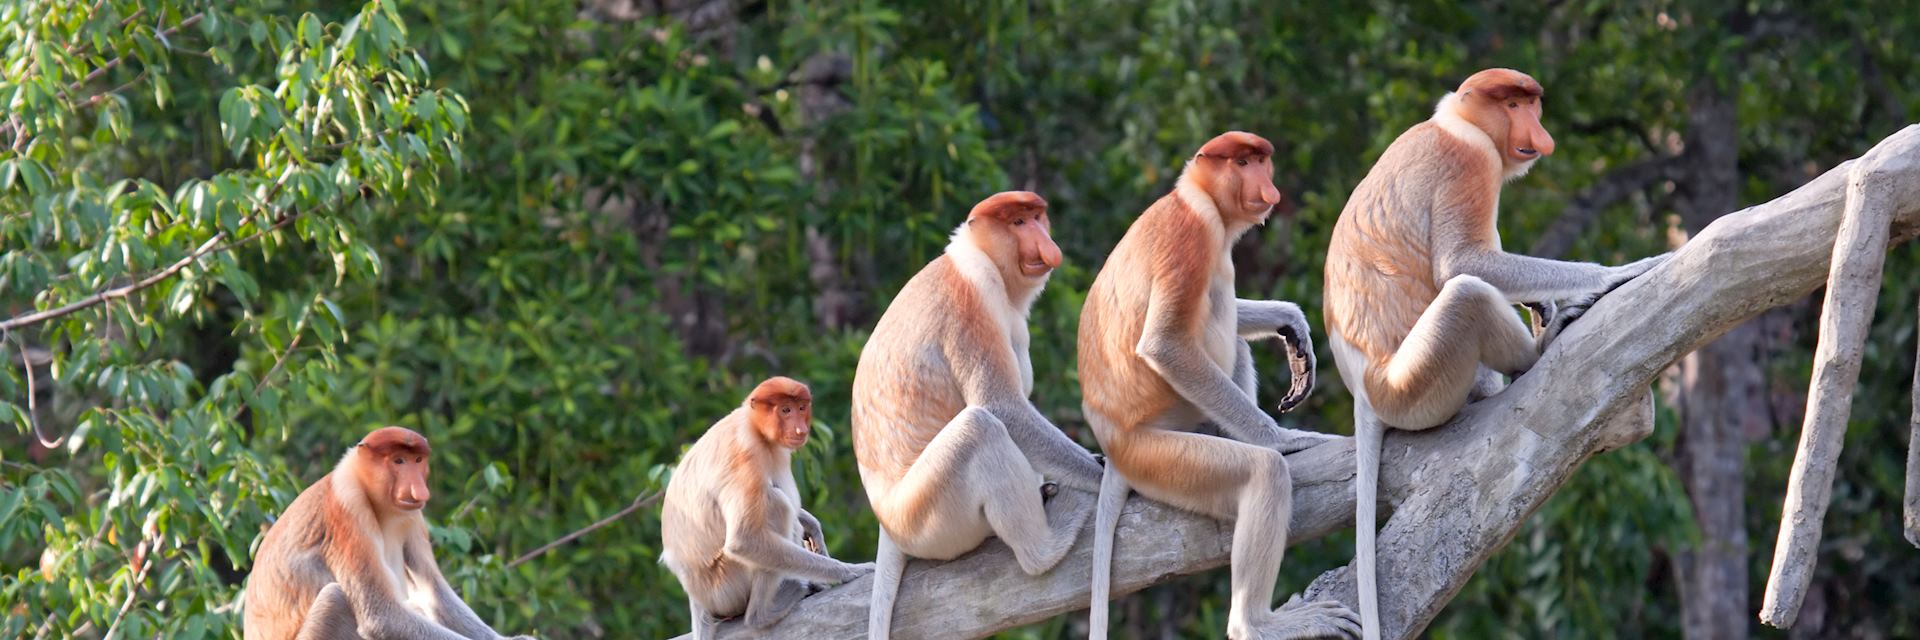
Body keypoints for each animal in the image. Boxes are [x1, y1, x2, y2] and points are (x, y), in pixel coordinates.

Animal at [245, 422, 541, 638]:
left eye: (418, 460)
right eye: (398, 461)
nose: (418, 490)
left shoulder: (412, 516)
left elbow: (434, 592)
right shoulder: (348, 511)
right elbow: (382, 615)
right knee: (335, 598)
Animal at [660, 376, 871, 634]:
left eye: (802, 408)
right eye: (785, 410)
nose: (800, 429)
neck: (754, 427)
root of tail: (697, 597)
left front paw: (813, 528)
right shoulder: (747, 458)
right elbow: (744, 540)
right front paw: (850, 570)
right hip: (727, 586)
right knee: (776, 504)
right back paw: (762, 613)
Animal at [852, 189, 1105, 638]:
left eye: (1037, 217)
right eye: (1017, 223)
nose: (1046, 244)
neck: (975, 254)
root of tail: (886, 521)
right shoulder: (970, 295)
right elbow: (1000, 404)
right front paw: (1104, 472)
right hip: (927, 518)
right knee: (980, 429)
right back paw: (1048, 544)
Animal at [1082, 130, 1367, 638]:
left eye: (1261, 160)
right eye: (1242, 162)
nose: (1269, 189)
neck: (1196, 199)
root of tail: (1112, 444)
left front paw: (1292, 325)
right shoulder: (1193, 237)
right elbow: (1165, 344)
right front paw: (1286, 439)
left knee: (1234, 337)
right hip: (1159, 455)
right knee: (1261, 471)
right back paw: (1256, 624)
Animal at [1328, 67, 1674, 634]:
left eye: (1532, 103)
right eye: (1513, 104)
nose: (1540, 134)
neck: (1457, 121)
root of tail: (1364, 388)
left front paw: (1545, 302)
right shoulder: (1471, 162)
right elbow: (1463, 261)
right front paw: (1611, 275)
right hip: (1415, 387)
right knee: (1466, 292)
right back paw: (1538, 352)